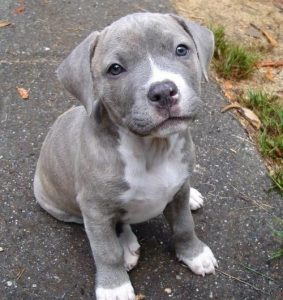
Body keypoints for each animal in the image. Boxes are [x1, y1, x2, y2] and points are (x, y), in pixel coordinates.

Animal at [34, 12, 219, 300]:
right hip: (60, 205)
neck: (152, 148)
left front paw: (194, 254)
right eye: (115, 69)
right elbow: (105, 251)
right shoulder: (95, 209)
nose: (163, 91)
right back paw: (127, 246)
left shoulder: (178, 189)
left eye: (181, 50)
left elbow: (184, 225)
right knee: (113, 225)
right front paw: (115, 286)